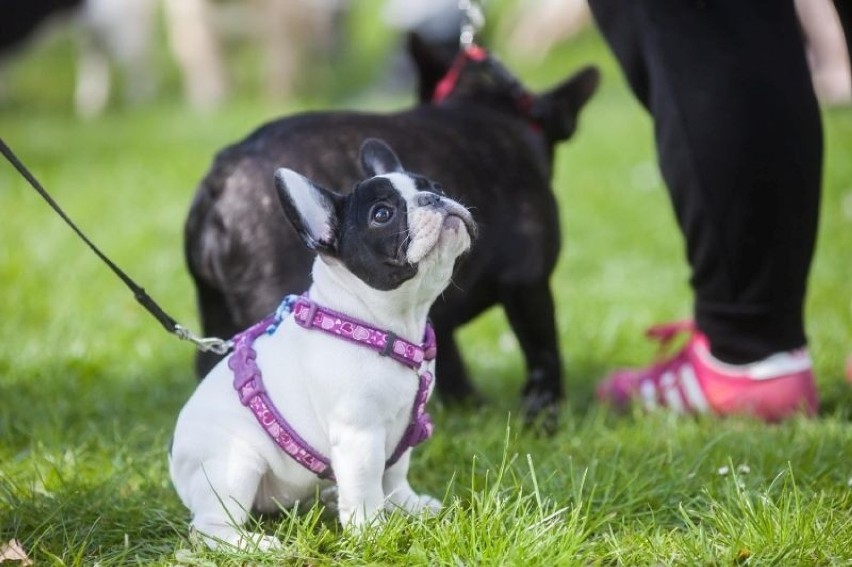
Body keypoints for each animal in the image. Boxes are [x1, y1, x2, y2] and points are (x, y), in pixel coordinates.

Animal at [170, 138, 476, 552]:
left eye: (437, 187)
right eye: (382, 214)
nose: (434, 199)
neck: (382, 325)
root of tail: (174, 460)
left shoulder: (404, 428)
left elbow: (395, 474)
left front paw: (408, 506)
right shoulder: (359, 435)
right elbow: (365, 486)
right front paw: (372, 533)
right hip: (234, 464)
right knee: (209, 527)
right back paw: (258, 545)